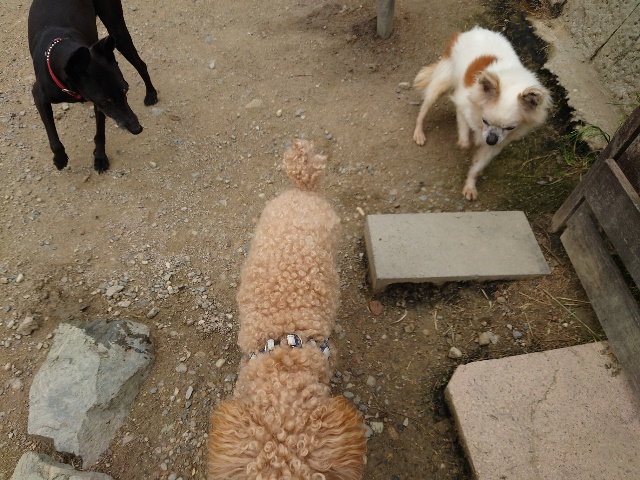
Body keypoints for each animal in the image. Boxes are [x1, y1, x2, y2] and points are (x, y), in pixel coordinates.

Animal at [28, 0, 158, 173]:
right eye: (105, 101)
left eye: (126, 90)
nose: (137, 129)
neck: (60, 46)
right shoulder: (39, 96)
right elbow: (53, 138)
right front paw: (60, 159)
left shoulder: (97, 106)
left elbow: (100, 133)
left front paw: (100, 157)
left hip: (117, 29)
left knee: (141, 65)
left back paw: (151, 93)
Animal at [413, 26, 551, 200]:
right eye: (485, 121)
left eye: (510, 128)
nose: (491, 139)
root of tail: (473, 31)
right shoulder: (463, 107)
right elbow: (465, 140)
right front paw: (466, 146)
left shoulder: (496, 146)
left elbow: (478, 166)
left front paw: (470, 184)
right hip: (440, 85)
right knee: (423, 110)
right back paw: (419, 133)